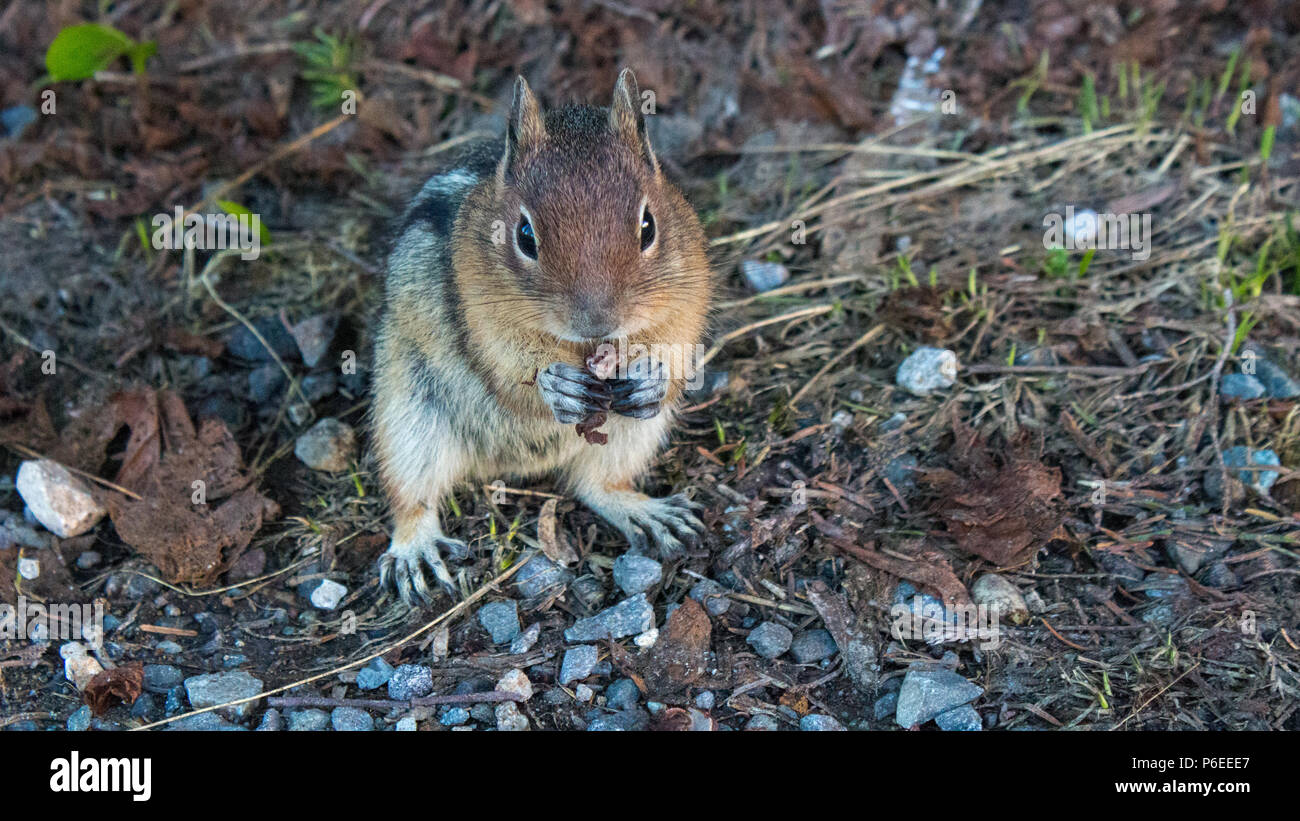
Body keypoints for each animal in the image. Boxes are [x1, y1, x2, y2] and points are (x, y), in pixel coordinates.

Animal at [372, 69, 713, 604]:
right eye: (525, 236)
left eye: (648, 226)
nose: (597, 321)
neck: (582, 346)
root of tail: (510, 468)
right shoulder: (484, 318)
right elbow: (510, 365)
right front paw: (555, 383)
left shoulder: (686, 294)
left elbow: (677, 341)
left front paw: (652, 374)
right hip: (406, 416)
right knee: (412, 498)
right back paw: (415, 552)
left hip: (635, 434)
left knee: (597, 486)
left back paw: (648, 512)